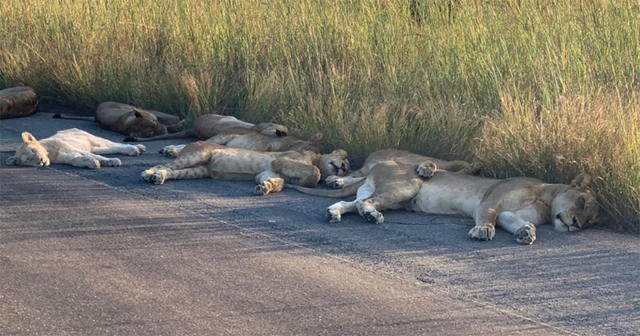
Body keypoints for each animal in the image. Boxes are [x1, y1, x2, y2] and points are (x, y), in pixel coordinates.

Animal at [5, 129, 146, 171]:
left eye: (33, 150)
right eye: (28, 160)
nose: (40, 161)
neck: (50, 153)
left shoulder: (70, 147)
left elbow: (96, 157)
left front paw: (113, 161)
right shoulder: (68, 157)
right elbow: (76, 160)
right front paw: (91, 163)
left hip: (94, 139)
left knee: (116, 144)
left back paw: (136, 148)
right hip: (95, 147)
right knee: (110, 148)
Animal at [141, 140, 350, 196]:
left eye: (347, 168)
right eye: (344, 160)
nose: (342, 167)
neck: (316, 158)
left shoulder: (266, 172)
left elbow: (279, 182)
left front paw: (265, 188)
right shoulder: (280, 160)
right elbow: (315, 173)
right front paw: (307, 180)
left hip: (198, 170)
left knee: (173, 171)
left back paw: (159, 177)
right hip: (197, 155)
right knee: (162, 164)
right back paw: (148, 173)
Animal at [290, 160, 600, 244]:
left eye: (591, 221)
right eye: (582, 201)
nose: (575, 224)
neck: (546, 199)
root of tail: (380, 164)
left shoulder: (509, 213)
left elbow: (513, 221)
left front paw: (526, 232)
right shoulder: (490, 201)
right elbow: (487, 216)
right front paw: (482, 231)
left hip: (394, 197)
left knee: (355, 203)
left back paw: (334, 213)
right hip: (407, 186)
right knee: (368, 203)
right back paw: (371, 217)